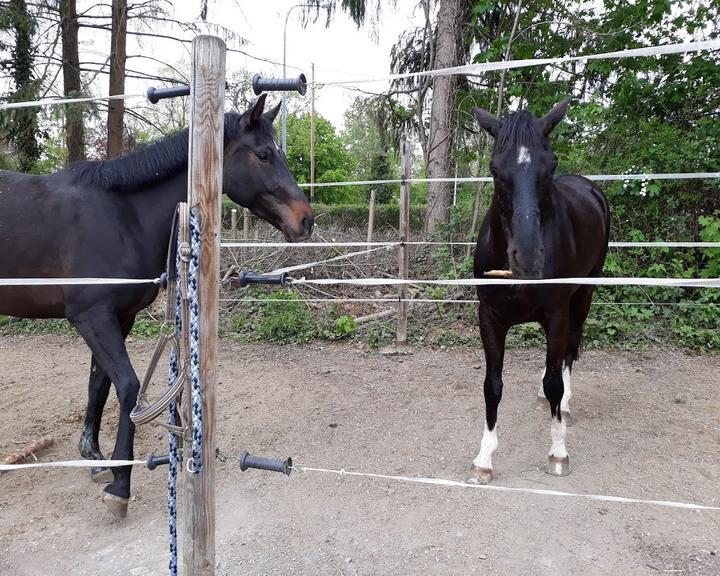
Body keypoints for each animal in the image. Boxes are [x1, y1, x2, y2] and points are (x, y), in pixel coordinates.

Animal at [0, 95, 312, 516]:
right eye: (263, 154)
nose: (306, 220)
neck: (120, 216)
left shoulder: (120, 317)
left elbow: (99, 384)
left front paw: (95, 457)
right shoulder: (91, 316)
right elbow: (129, 388)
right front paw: (119, 485)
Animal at [470, 101, 612, 484]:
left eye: (551, 166)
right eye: (494, 168)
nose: (529, 255)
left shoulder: (556, 315)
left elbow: (554, 383)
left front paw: (558, 453)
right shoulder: (489, 318)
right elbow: (492, 385)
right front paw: (484, 459)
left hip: (583, 297)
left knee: (568, 354)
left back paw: (565, 407)